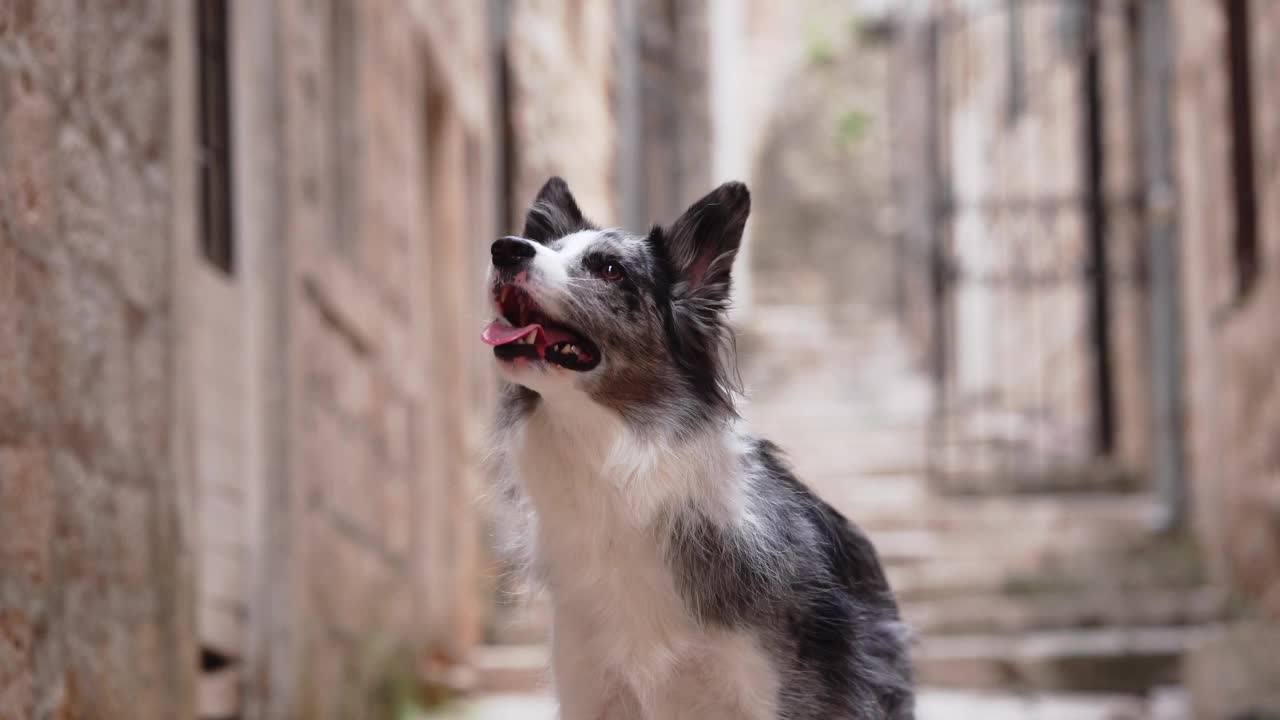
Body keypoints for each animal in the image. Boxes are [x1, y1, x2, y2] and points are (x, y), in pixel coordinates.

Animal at [481, 175, 911, 717]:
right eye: (546, 247)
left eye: (609, 269)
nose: (505, 249)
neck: (619, 464)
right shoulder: (592, 685)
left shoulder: (773, 691)